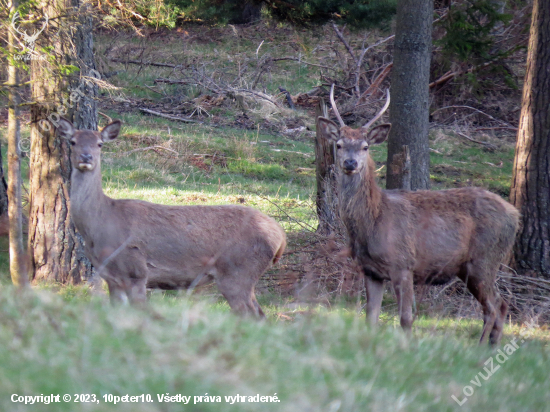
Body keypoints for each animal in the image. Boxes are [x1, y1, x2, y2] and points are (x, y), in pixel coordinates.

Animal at [57, 117, 286, 318]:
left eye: (100, 144)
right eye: (73, 141)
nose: (86, 157)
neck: (100, 225)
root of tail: (281, 236)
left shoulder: (136, 271)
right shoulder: (111, 278)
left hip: (238, 270)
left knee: (249, 314)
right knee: (259, 314)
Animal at [320, 86, 520, 344]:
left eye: (365, 146)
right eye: (338, 144)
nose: (350, 163)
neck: (373, 222)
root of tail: (515, 214)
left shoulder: (404, 263)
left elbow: (406, 318)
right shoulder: (370, 271)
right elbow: (370, 318)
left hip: (485, 259)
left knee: (493, 307)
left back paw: (480, 346)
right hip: (473, 267)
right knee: (502, 304)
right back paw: (492, 346)